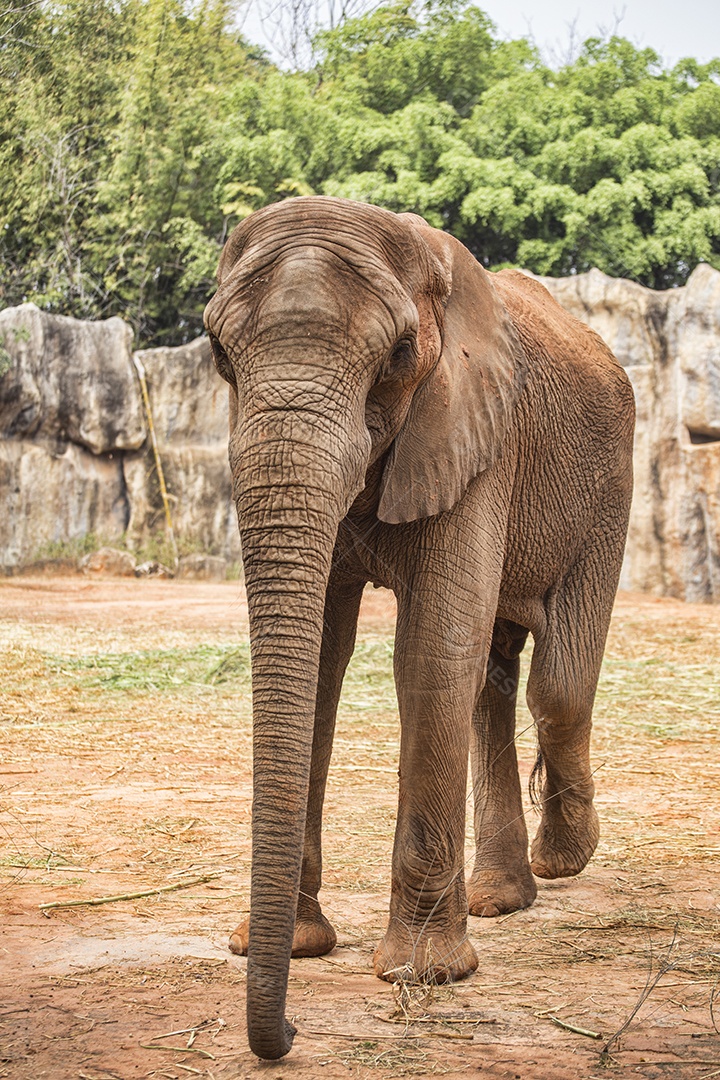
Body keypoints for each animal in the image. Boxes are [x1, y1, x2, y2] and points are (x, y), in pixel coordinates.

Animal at [203, 195, 635, 1060]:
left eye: (401, 354)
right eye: (218, 353)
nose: (289, 1030)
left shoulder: (477, 431)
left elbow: (432, 651)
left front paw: (424, 975)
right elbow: (323, 661)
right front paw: (299, 947)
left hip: (608, 489)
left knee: (556, 686)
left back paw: (564, 859)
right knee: (494, 675)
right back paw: (502, 897)